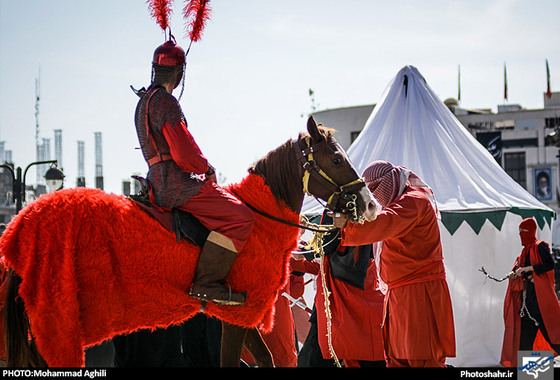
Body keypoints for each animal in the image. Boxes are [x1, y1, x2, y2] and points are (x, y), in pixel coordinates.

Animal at [1, 116, 376, 368]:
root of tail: (21, 221)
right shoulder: (235, 315)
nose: (369, 204)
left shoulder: (242, 316)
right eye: (337, 158)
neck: (261, 216)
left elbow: (266, 359)